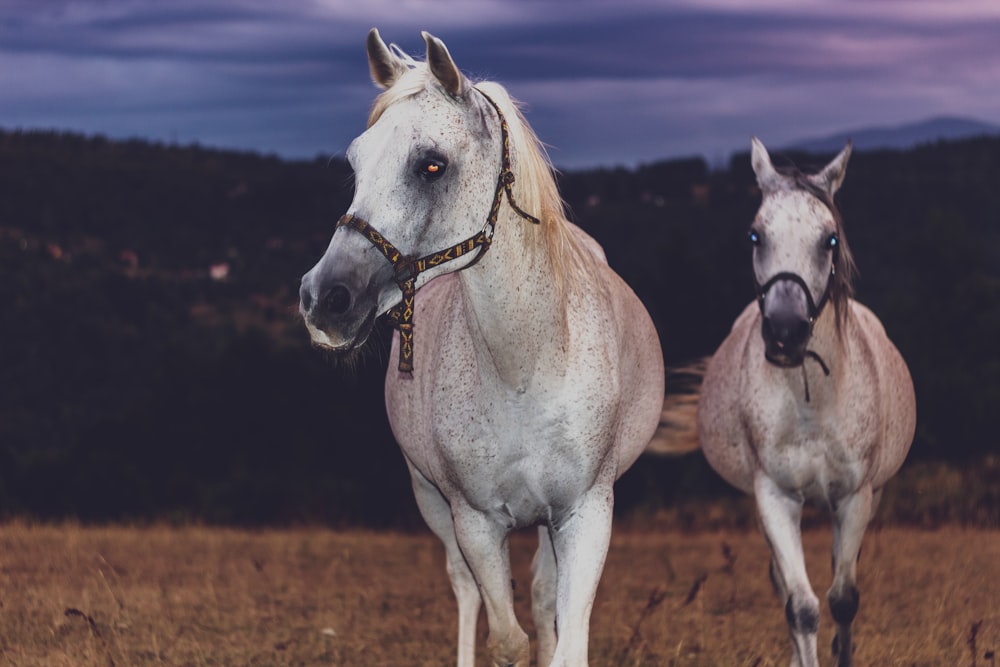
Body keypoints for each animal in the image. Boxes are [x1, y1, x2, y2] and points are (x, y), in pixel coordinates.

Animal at [300, 30, 668, 667]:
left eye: (431, 165)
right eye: (355, 162)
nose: (324, 299)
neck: (526, 368)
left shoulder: (586, 515)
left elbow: (564, 637)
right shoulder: (474, 523)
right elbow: (505, 638)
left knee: (542, 597)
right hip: (433, 503)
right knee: (466, 593)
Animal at [696, 140, 916, 667]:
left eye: (829, 240)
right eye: (756, 236)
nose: (785, 331)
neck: (811, 401)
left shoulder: (855, 498)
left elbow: (844, 600)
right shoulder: (774, 498)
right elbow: (801, 607)